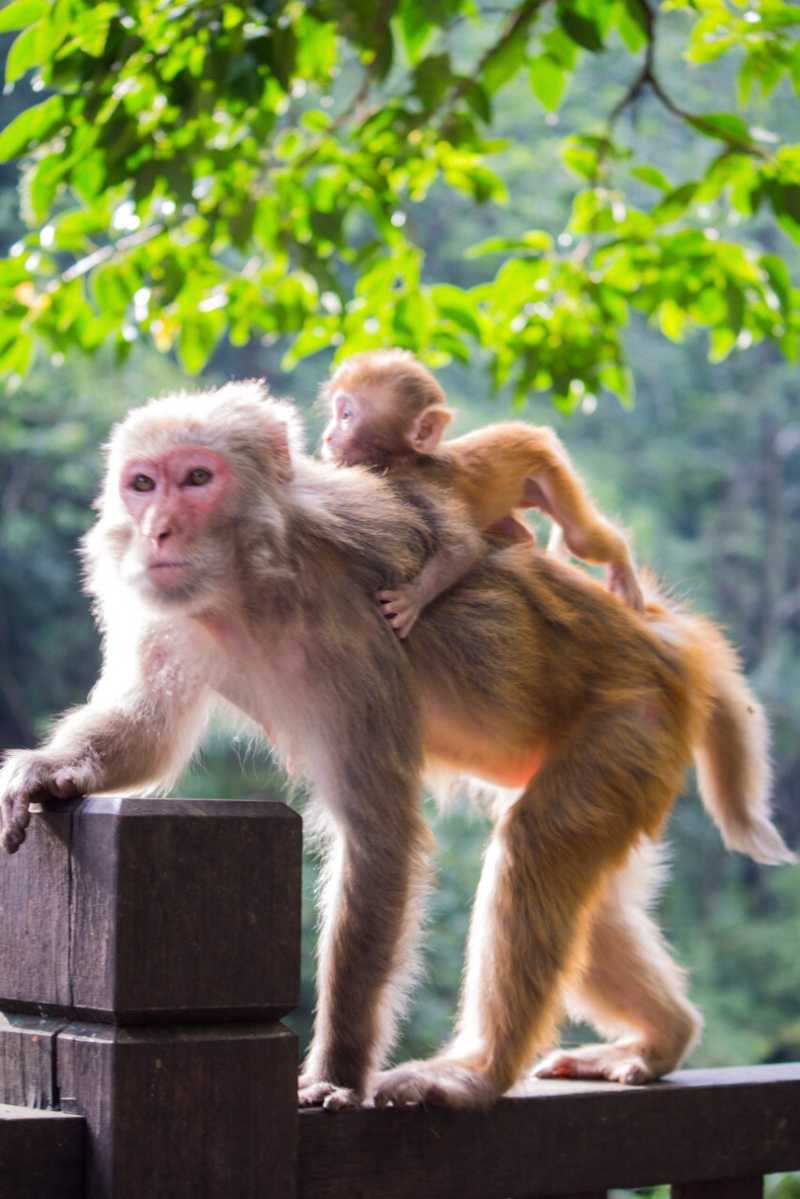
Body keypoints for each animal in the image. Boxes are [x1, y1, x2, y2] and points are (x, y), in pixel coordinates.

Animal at [0, 383, 796, 1112]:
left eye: (197, 478)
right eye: (142, 484)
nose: (158, 530)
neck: (256, 579)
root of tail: (669, 642)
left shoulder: (355, 634)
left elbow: (377, 833)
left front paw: (336, 1071)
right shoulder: (177, 616)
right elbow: (148, 731)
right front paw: (49, 771)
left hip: (633, 721)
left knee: (538, 843)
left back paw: (476, 1073)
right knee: (588, 897)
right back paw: (663, 1036)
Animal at [321, 347, 642, 637]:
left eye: (346, 415)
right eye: (335, 414)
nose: (327, 437)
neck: (402, 460)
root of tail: (534, 431)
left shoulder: (421, 486)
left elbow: (464, 546)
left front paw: (410, 600)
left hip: (551, 471)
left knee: (579, 537)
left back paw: (623, 566)